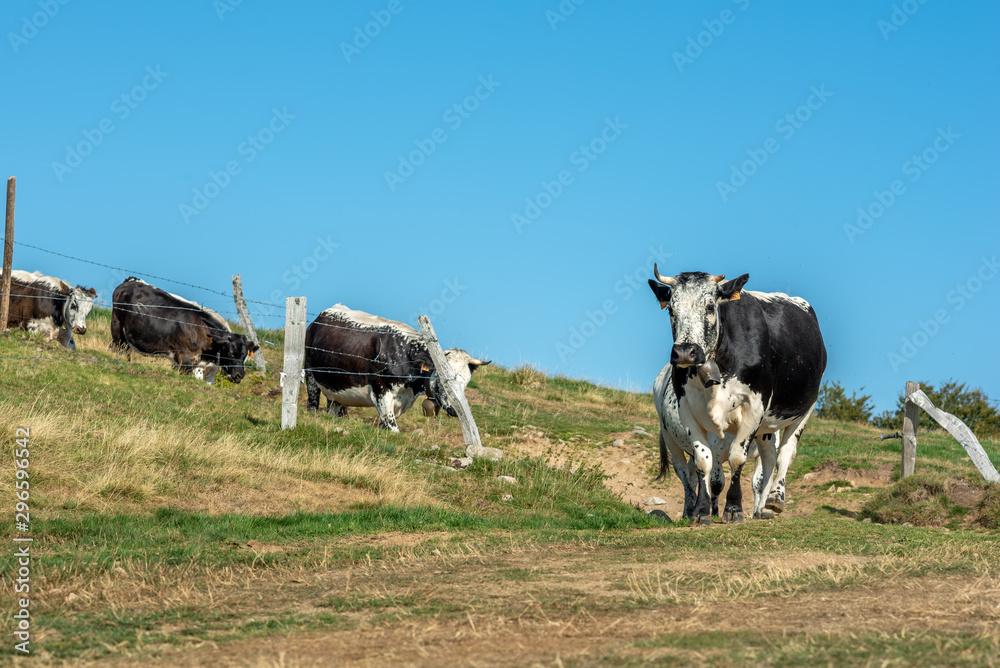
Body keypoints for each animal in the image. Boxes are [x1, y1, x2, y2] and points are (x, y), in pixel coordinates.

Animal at [110, 276, 258, 380]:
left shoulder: (208, 372)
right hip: (117, 324)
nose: (239, 375)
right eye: (232, 353)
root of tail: (132, 280)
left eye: (245, 356)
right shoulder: (186, 360)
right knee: (119, 347)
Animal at [304, 304, 492, 434]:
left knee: (333, 407)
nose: (456, 409)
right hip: (310, 374)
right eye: (444, 381)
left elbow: (384, 425)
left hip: (336, 388)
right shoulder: (381, 390)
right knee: (312, 403)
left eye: (466, 382)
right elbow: (393, 428)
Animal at [648, 266, 828, 528]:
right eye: (671, 308)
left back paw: (775, 498)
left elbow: (736, 460)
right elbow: (703, 463)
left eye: (710, 306)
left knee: (784, 454)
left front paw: (733, 509)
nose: (684, 352)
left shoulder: (754, 407)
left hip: (804, 410)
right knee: (687, 471)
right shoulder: (687, 410)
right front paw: (701, 512)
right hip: (673, 437)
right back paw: (693, 508)